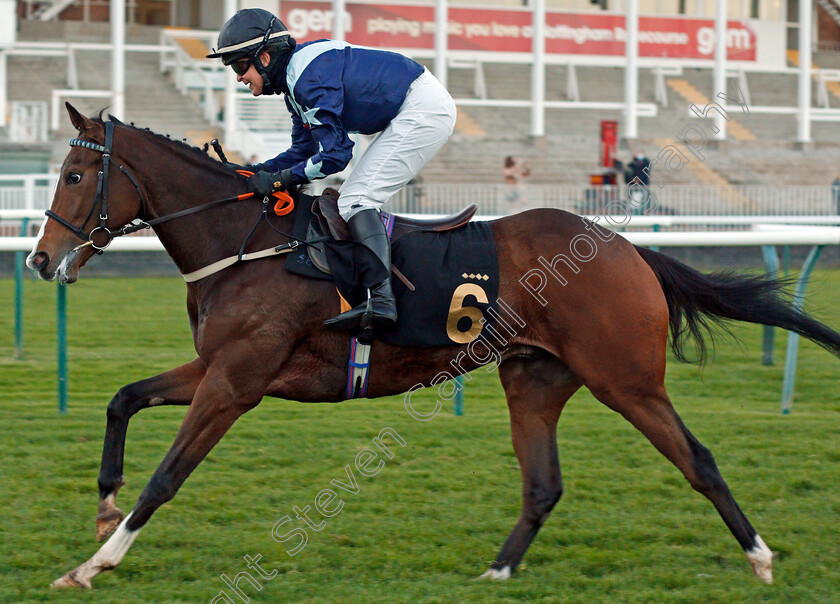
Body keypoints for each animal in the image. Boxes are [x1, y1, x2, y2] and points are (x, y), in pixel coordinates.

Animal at [29, 105, 840, 588]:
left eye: (74, 174)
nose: (39, 260)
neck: (248, 242)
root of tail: (627, 249)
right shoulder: (217, 365)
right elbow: (123, 398)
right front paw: (103, 503)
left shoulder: (237, 381)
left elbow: (168, 476)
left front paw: (95, 561)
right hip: (535, 379)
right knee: (543, 484)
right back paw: (496, 575)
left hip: (628, 380)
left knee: (696, 458)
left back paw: (761, 556)